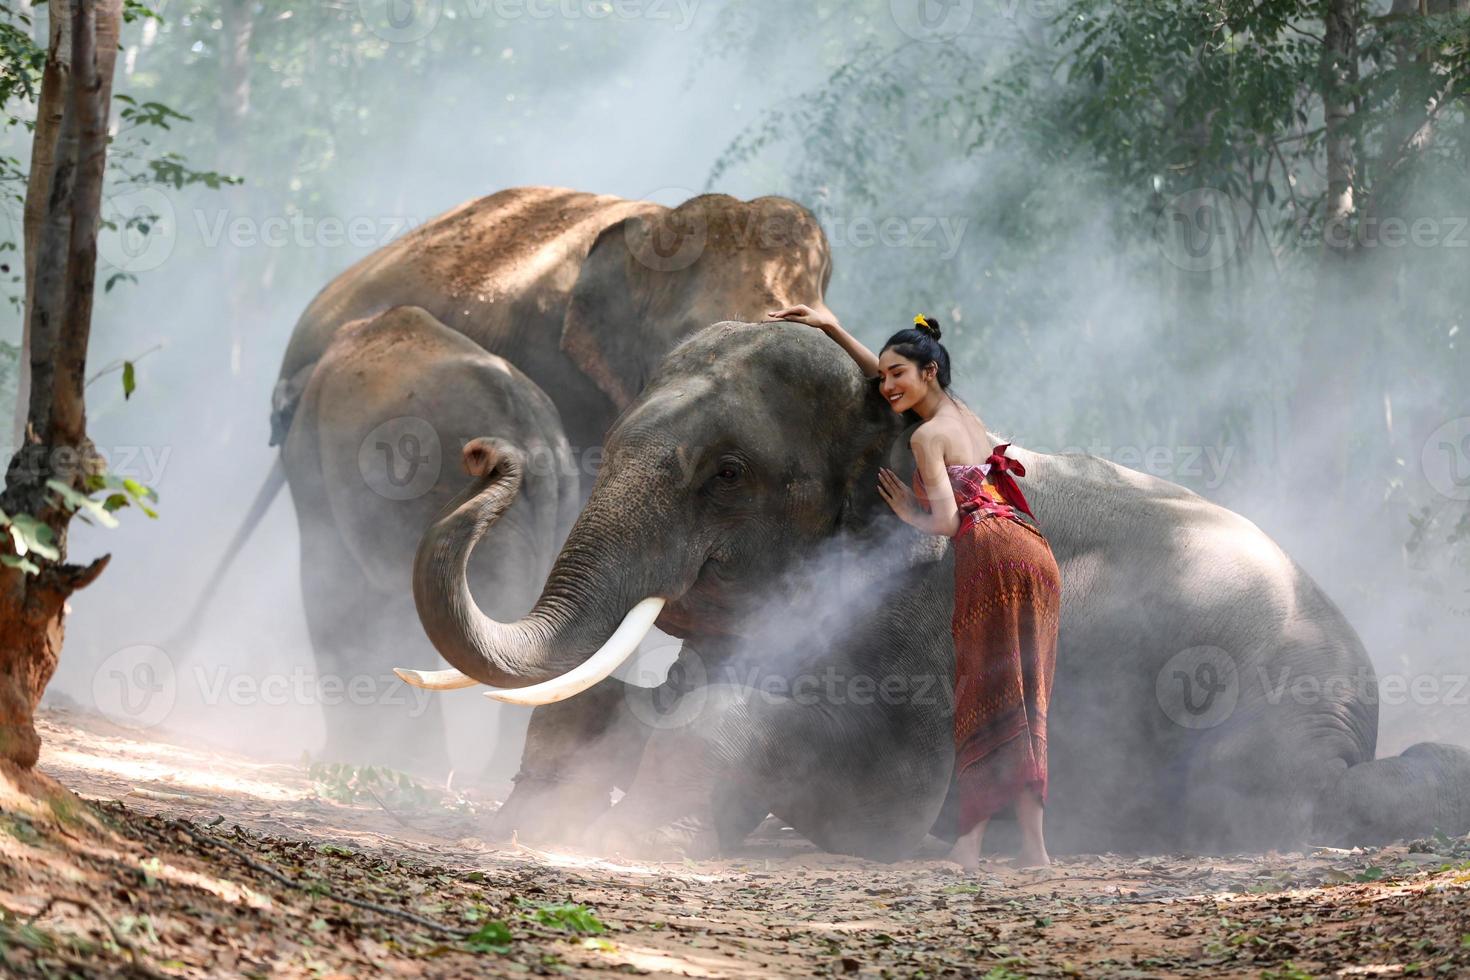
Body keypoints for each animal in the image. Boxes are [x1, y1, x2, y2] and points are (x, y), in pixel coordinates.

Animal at [393, 318, 1470, 852]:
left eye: (729, 474)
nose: (484, 453)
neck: (884, 426)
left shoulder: (910, 604)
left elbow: (851, 770)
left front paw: (654, 827)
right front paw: (538, 817)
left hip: (1271, 707)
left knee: (1277, 803)